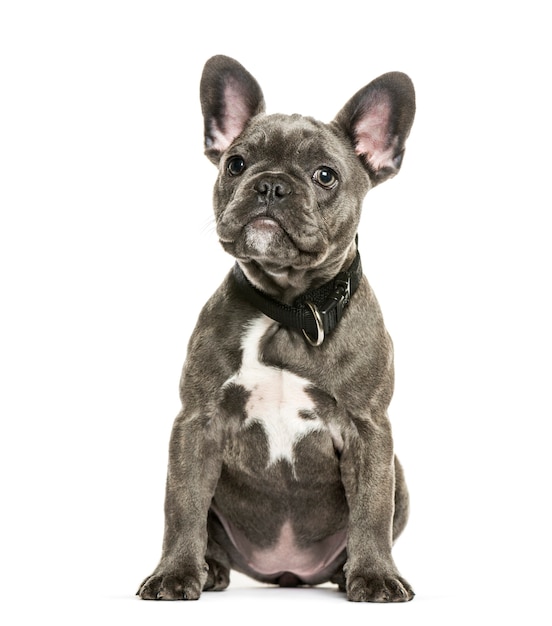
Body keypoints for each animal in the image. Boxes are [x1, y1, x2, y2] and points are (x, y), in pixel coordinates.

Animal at [137, 56, 414, 604]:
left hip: (401, 476)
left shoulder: (370, 430)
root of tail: (286, 574)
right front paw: (174, 573)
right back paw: (209, 569)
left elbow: (372, 509)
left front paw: (375, 576)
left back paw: (347, 572)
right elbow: (182, 506)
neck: (289, 308)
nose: (269, 184)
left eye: (325, 176)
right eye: (236, 164)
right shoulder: (196, 424)